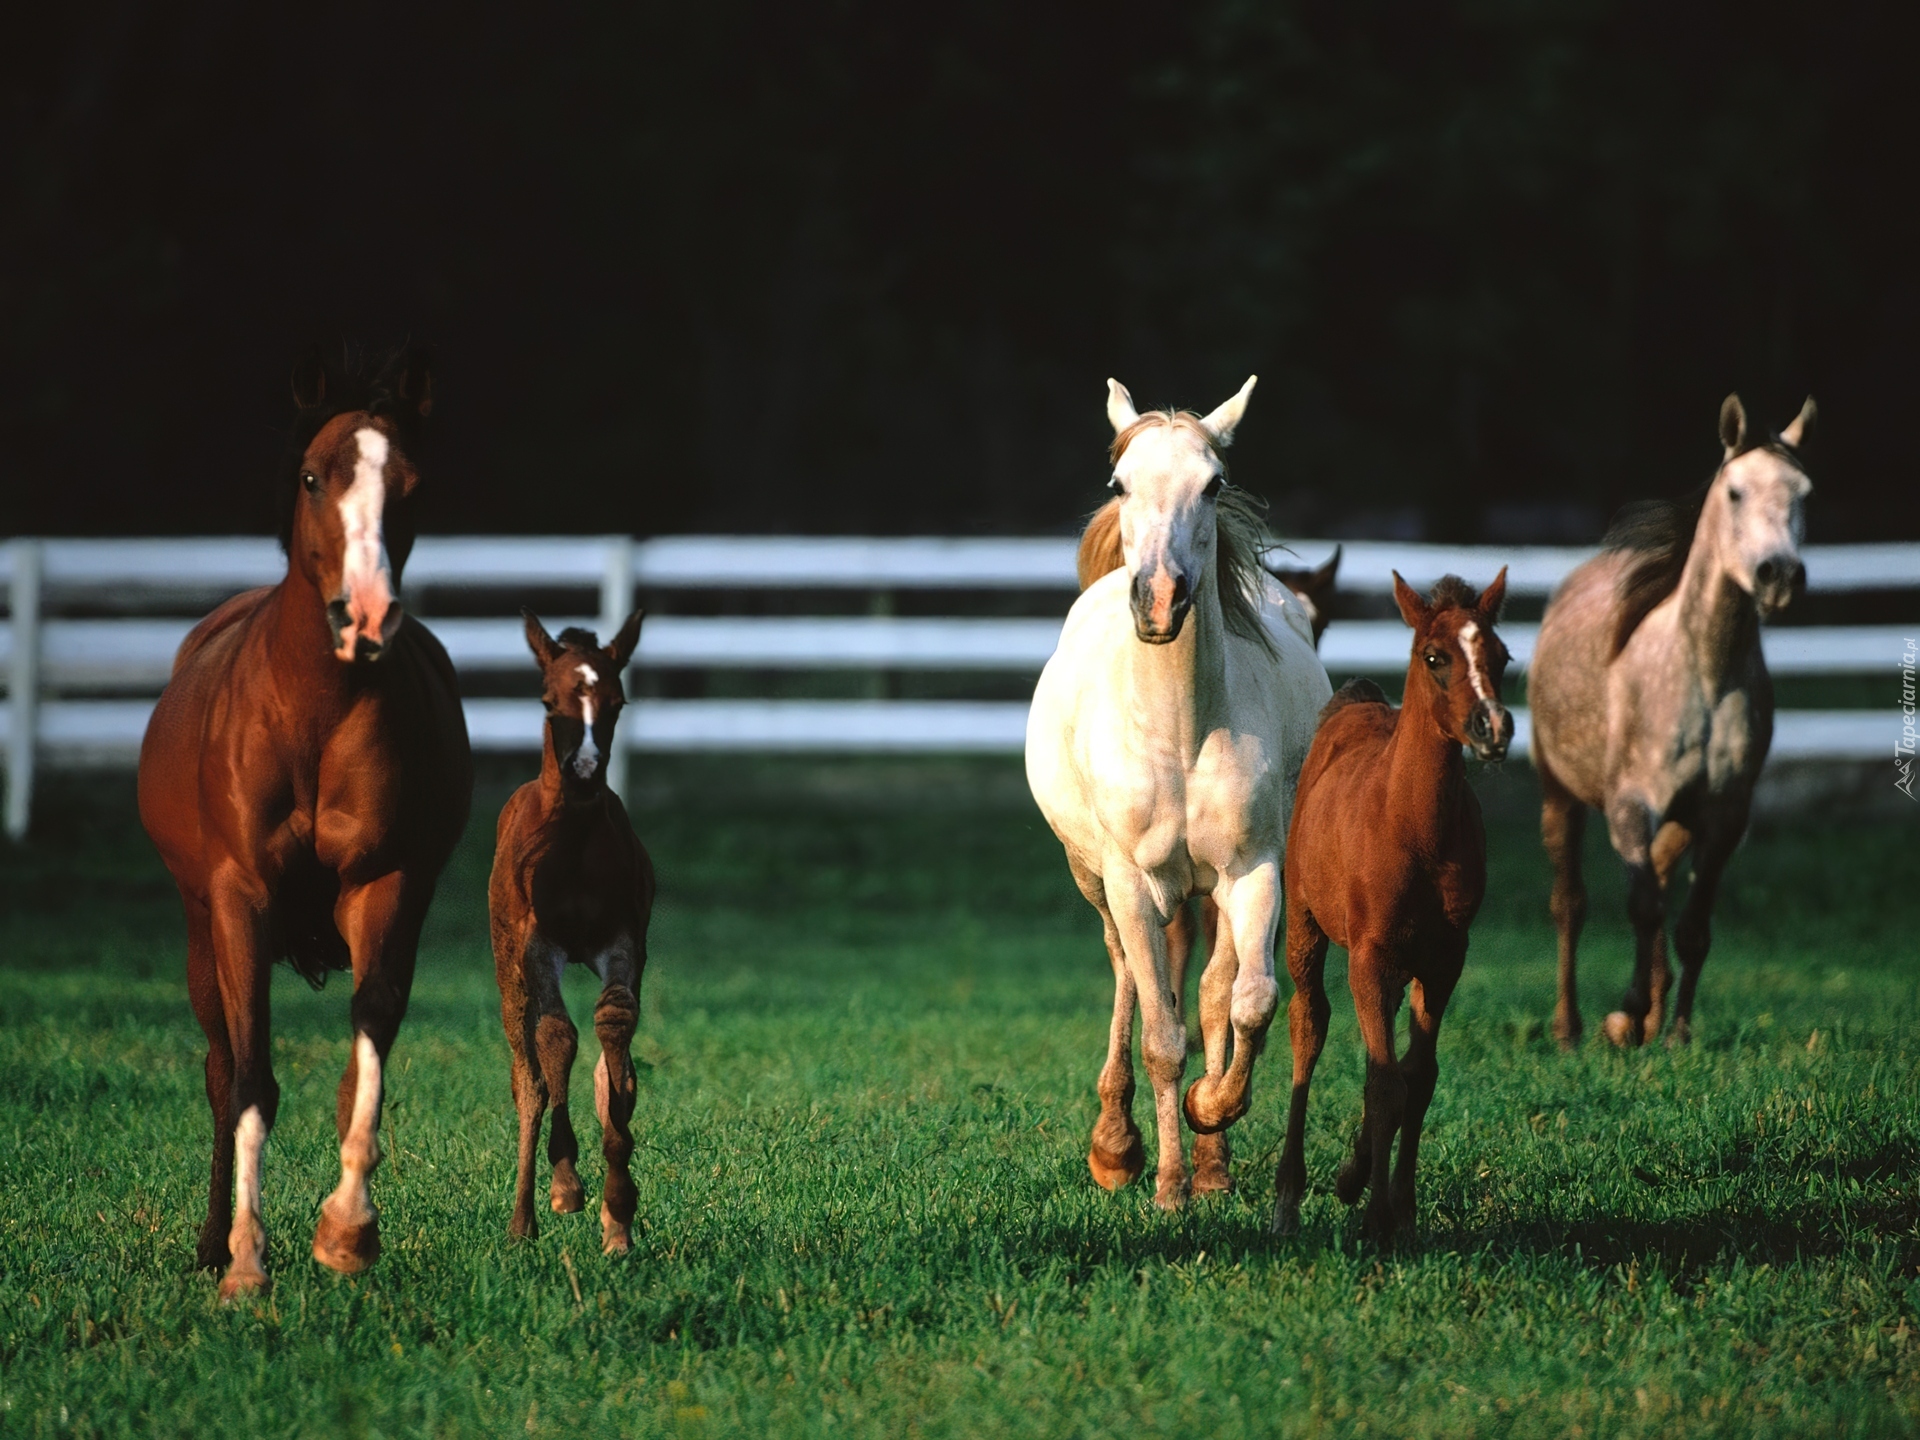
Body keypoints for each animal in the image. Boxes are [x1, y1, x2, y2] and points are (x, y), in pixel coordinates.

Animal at [140, 353, 472, 1305]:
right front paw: (245, 1263)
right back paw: (211, 1242)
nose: (363, 616)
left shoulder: (387, 887)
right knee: (220, 1072)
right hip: (197, 932)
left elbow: (369, 1045)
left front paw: (347, 1233)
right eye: (314, 477)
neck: (315, 711)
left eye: (413, 485)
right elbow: (251, 1079)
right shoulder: (237, 903)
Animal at [487, 614, 652, 1259]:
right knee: (524, 1070)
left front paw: (620, 1211)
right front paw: (565, 1185)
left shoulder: (623, 939)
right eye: (547, 701)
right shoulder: (538, 943)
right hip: (505, 958)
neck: (575, 844)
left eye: (617, 702)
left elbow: (615, 1032)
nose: (583, 772)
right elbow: (555, 1038)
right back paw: (523, 1220)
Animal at [1029, 374, 1328, 1205]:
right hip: (1096, 879)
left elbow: (1248, 1003)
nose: (1160, 600)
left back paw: (1214, 1164)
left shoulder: (1254, 872)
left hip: (1210, 890)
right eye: (1120, 484)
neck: (1179, 732)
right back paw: (1117, 1144)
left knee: (1214, 991)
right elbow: (1161, 1035)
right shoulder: (1131, 883)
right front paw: (1164, 1185)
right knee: (1129, 976)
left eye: (1214, 483)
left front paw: (1210, 1111)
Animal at [1274, 568, 1512, 1244]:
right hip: (1305, 927)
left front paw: (1395, 1202)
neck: (1411, 825)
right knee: (1308, 1023)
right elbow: (1384, 1081)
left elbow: (1418, 1077)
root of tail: (1355, 701)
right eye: (1435, 657)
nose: (1494, 727)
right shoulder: (1370, 956)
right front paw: (1376, 1215)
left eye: (1502, 656)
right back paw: (1288, 1195)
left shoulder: (1445, 960)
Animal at [1520, 395, 1804, 1052]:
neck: (1702, 669)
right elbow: (1642, 909)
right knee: (1570, 904)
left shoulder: (1724, 817)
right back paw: (1570, 1029)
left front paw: (1673, 1031)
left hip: (1676, 821)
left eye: (1803, 492)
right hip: (1559, 794)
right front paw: (1624, 1014)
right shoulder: (1630, 807)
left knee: (1661, 882)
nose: (1780, 575)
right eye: (1735, 492)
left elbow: (1692, 927)